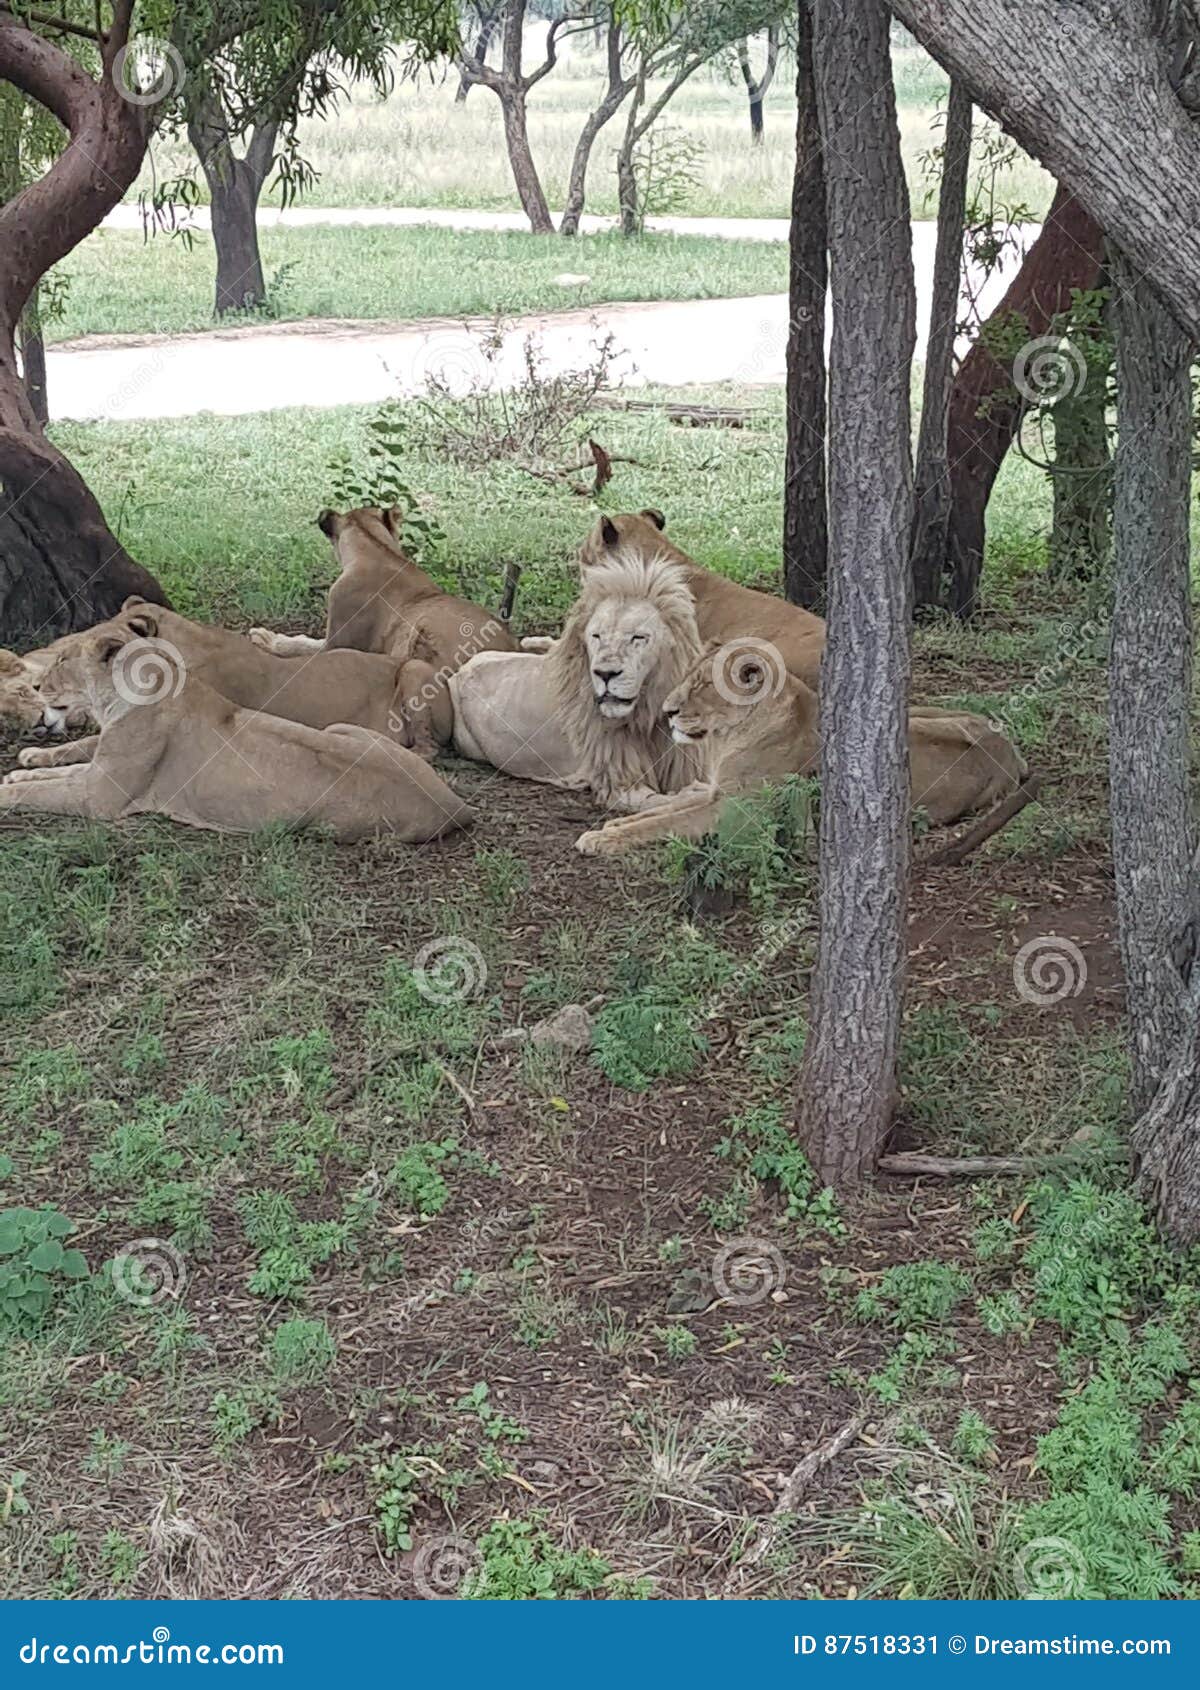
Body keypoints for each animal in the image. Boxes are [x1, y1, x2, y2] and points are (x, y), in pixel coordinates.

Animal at [2, 628, 476, 845]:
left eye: (62, 659)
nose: (38, 685)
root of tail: (455, 807)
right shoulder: (97, 772)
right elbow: (55, 772)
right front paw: (22, 768)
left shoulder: (100, 798)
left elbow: (43, 792)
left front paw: (8, 787)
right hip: (338, 729)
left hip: (327, 825)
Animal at [578, 642, 1027, 865]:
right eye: (688, 678)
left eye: (704, 686)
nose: (668, 712)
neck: (727, 739)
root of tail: (1008, 751)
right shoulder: (720, 794)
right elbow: (660, 814)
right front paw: (608, 828)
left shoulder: (739, 813)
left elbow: (663, 824)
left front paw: (602, 839)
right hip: (917, 712)